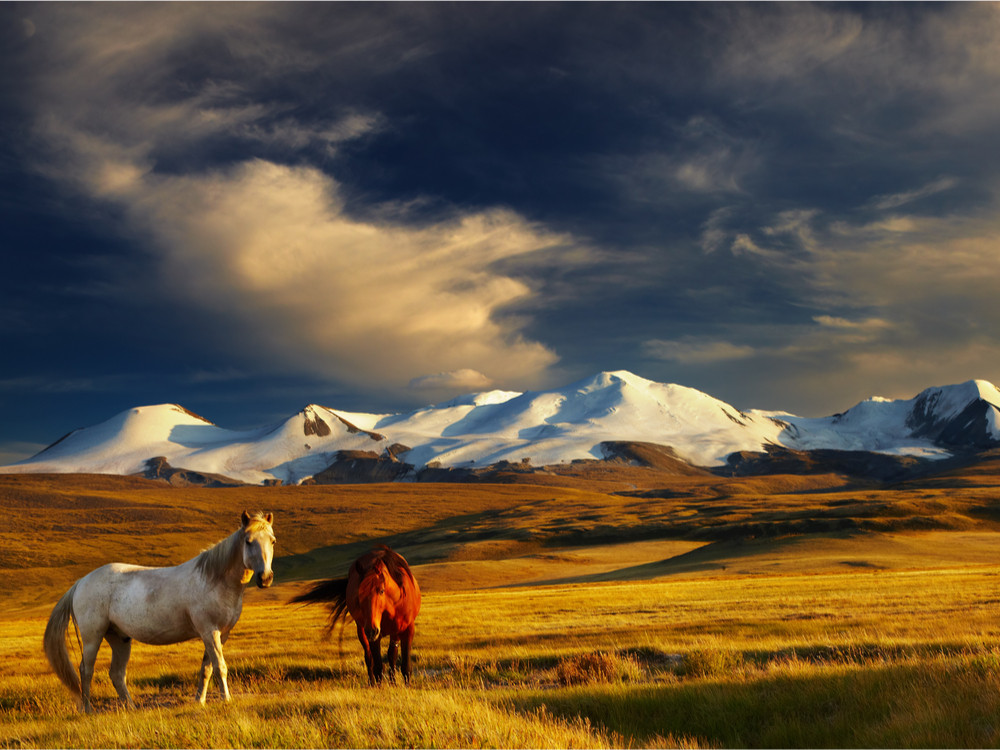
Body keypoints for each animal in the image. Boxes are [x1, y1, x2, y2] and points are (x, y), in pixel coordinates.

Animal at [44, 508, 274, 712]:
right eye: (248, 541)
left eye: (272, 541)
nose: (265, 578)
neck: (213, 579)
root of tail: (81, 582)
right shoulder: (209, 631)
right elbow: (220, 667)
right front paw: (226, 700)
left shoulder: (221, 634)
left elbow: (207, 669)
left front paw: (199, 701)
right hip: (93, 637)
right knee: (86, 670)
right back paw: (88, 709)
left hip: (119, 638)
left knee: (116, 674)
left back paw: (132, 707)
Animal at [292, 548, 420, 688]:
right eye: (359, 595)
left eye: (381, 591)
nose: (372, 630)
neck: (393, 604)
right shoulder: (374, 635)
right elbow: (378, 666)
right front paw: (379, 687)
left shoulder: (407, 629)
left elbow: (405, 665)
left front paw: (406, 686)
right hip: (363, 630)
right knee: (369, 658)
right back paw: (372, 683)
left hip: (392, 631)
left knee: (392, 654)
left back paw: (392, 682)